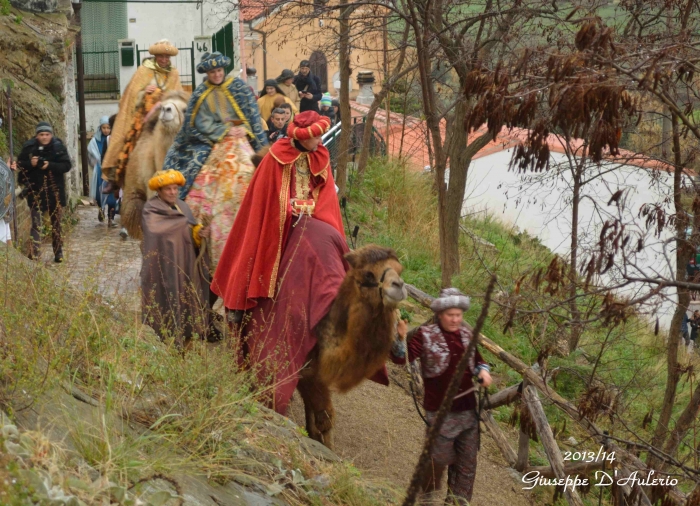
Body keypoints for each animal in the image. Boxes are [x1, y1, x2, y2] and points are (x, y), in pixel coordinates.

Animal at [296, 245, 404, 446]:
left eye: (400, 272)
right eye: (369, 274)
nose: (399, 286)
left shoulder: (315, 373)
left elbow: (320, 413)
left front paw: (314, 436)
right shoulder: (306, 369)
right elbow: (324, 416)